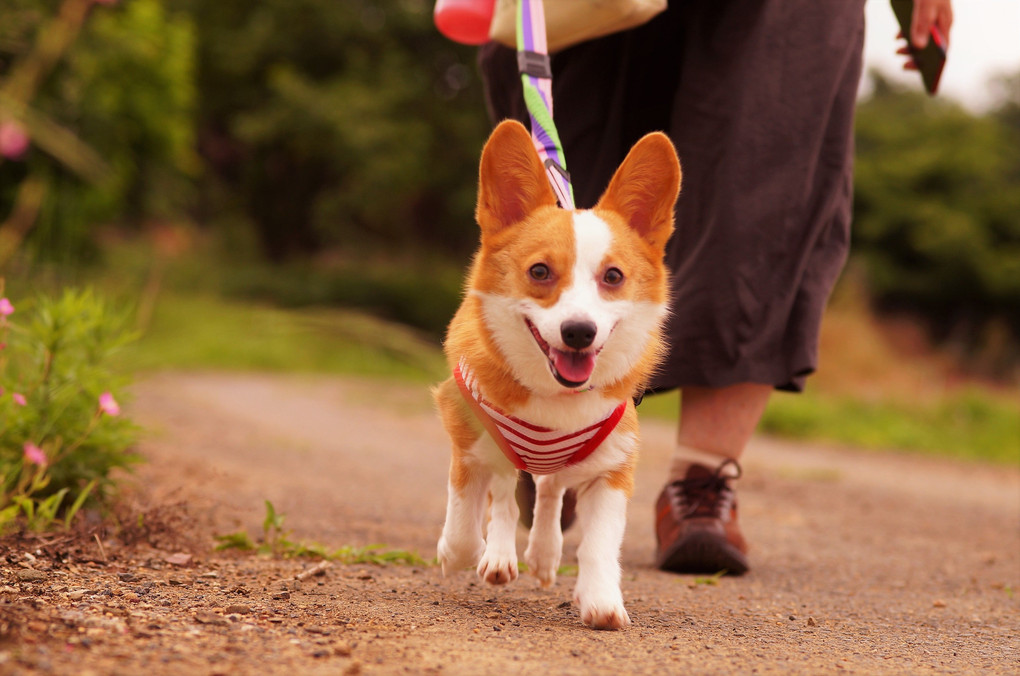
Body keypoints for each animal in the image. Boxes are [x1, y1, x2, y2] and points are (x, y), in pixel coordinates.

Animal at [430, 118, 677, 632]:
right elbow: (465, 525)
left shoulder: (613, 467)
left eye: (613, 277)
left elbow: (599, 543)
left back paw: (543, 554)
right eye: (540, 271)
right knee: (508, 492)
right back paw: (499, 556)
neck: (554, 400)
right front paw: (462, 551)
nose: (579, 331)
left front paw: (601, 601)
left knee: (549, 490)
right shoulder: (469, 441)